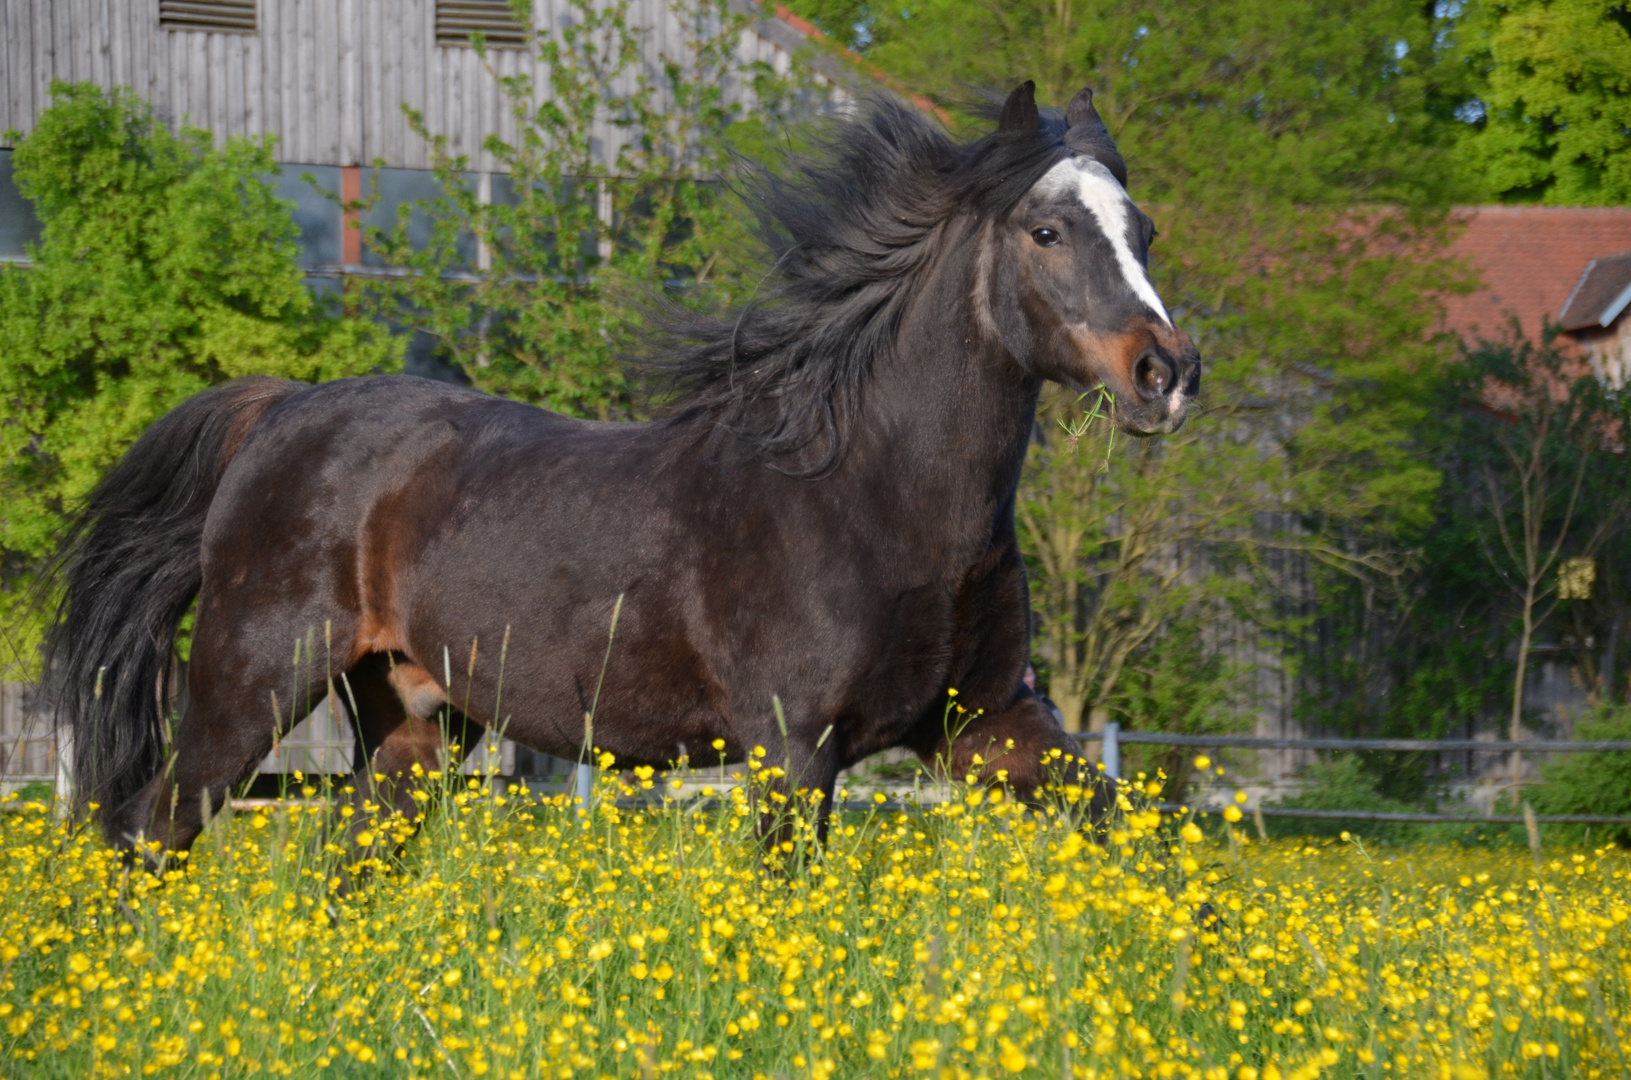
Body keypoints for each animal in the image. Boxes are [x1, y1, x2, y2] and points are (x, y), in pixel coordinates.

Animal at [47, 80, 1200, 861]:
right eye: (1046, 230)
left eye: (1141, 229)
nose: (1167, 373)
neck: (876, 500)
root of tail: (281, 409)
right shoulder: (793, 749)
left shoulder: (986, 723)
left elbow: (1127, 836)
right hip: (249, 685)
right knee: (149, 832)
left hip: (414, 725)